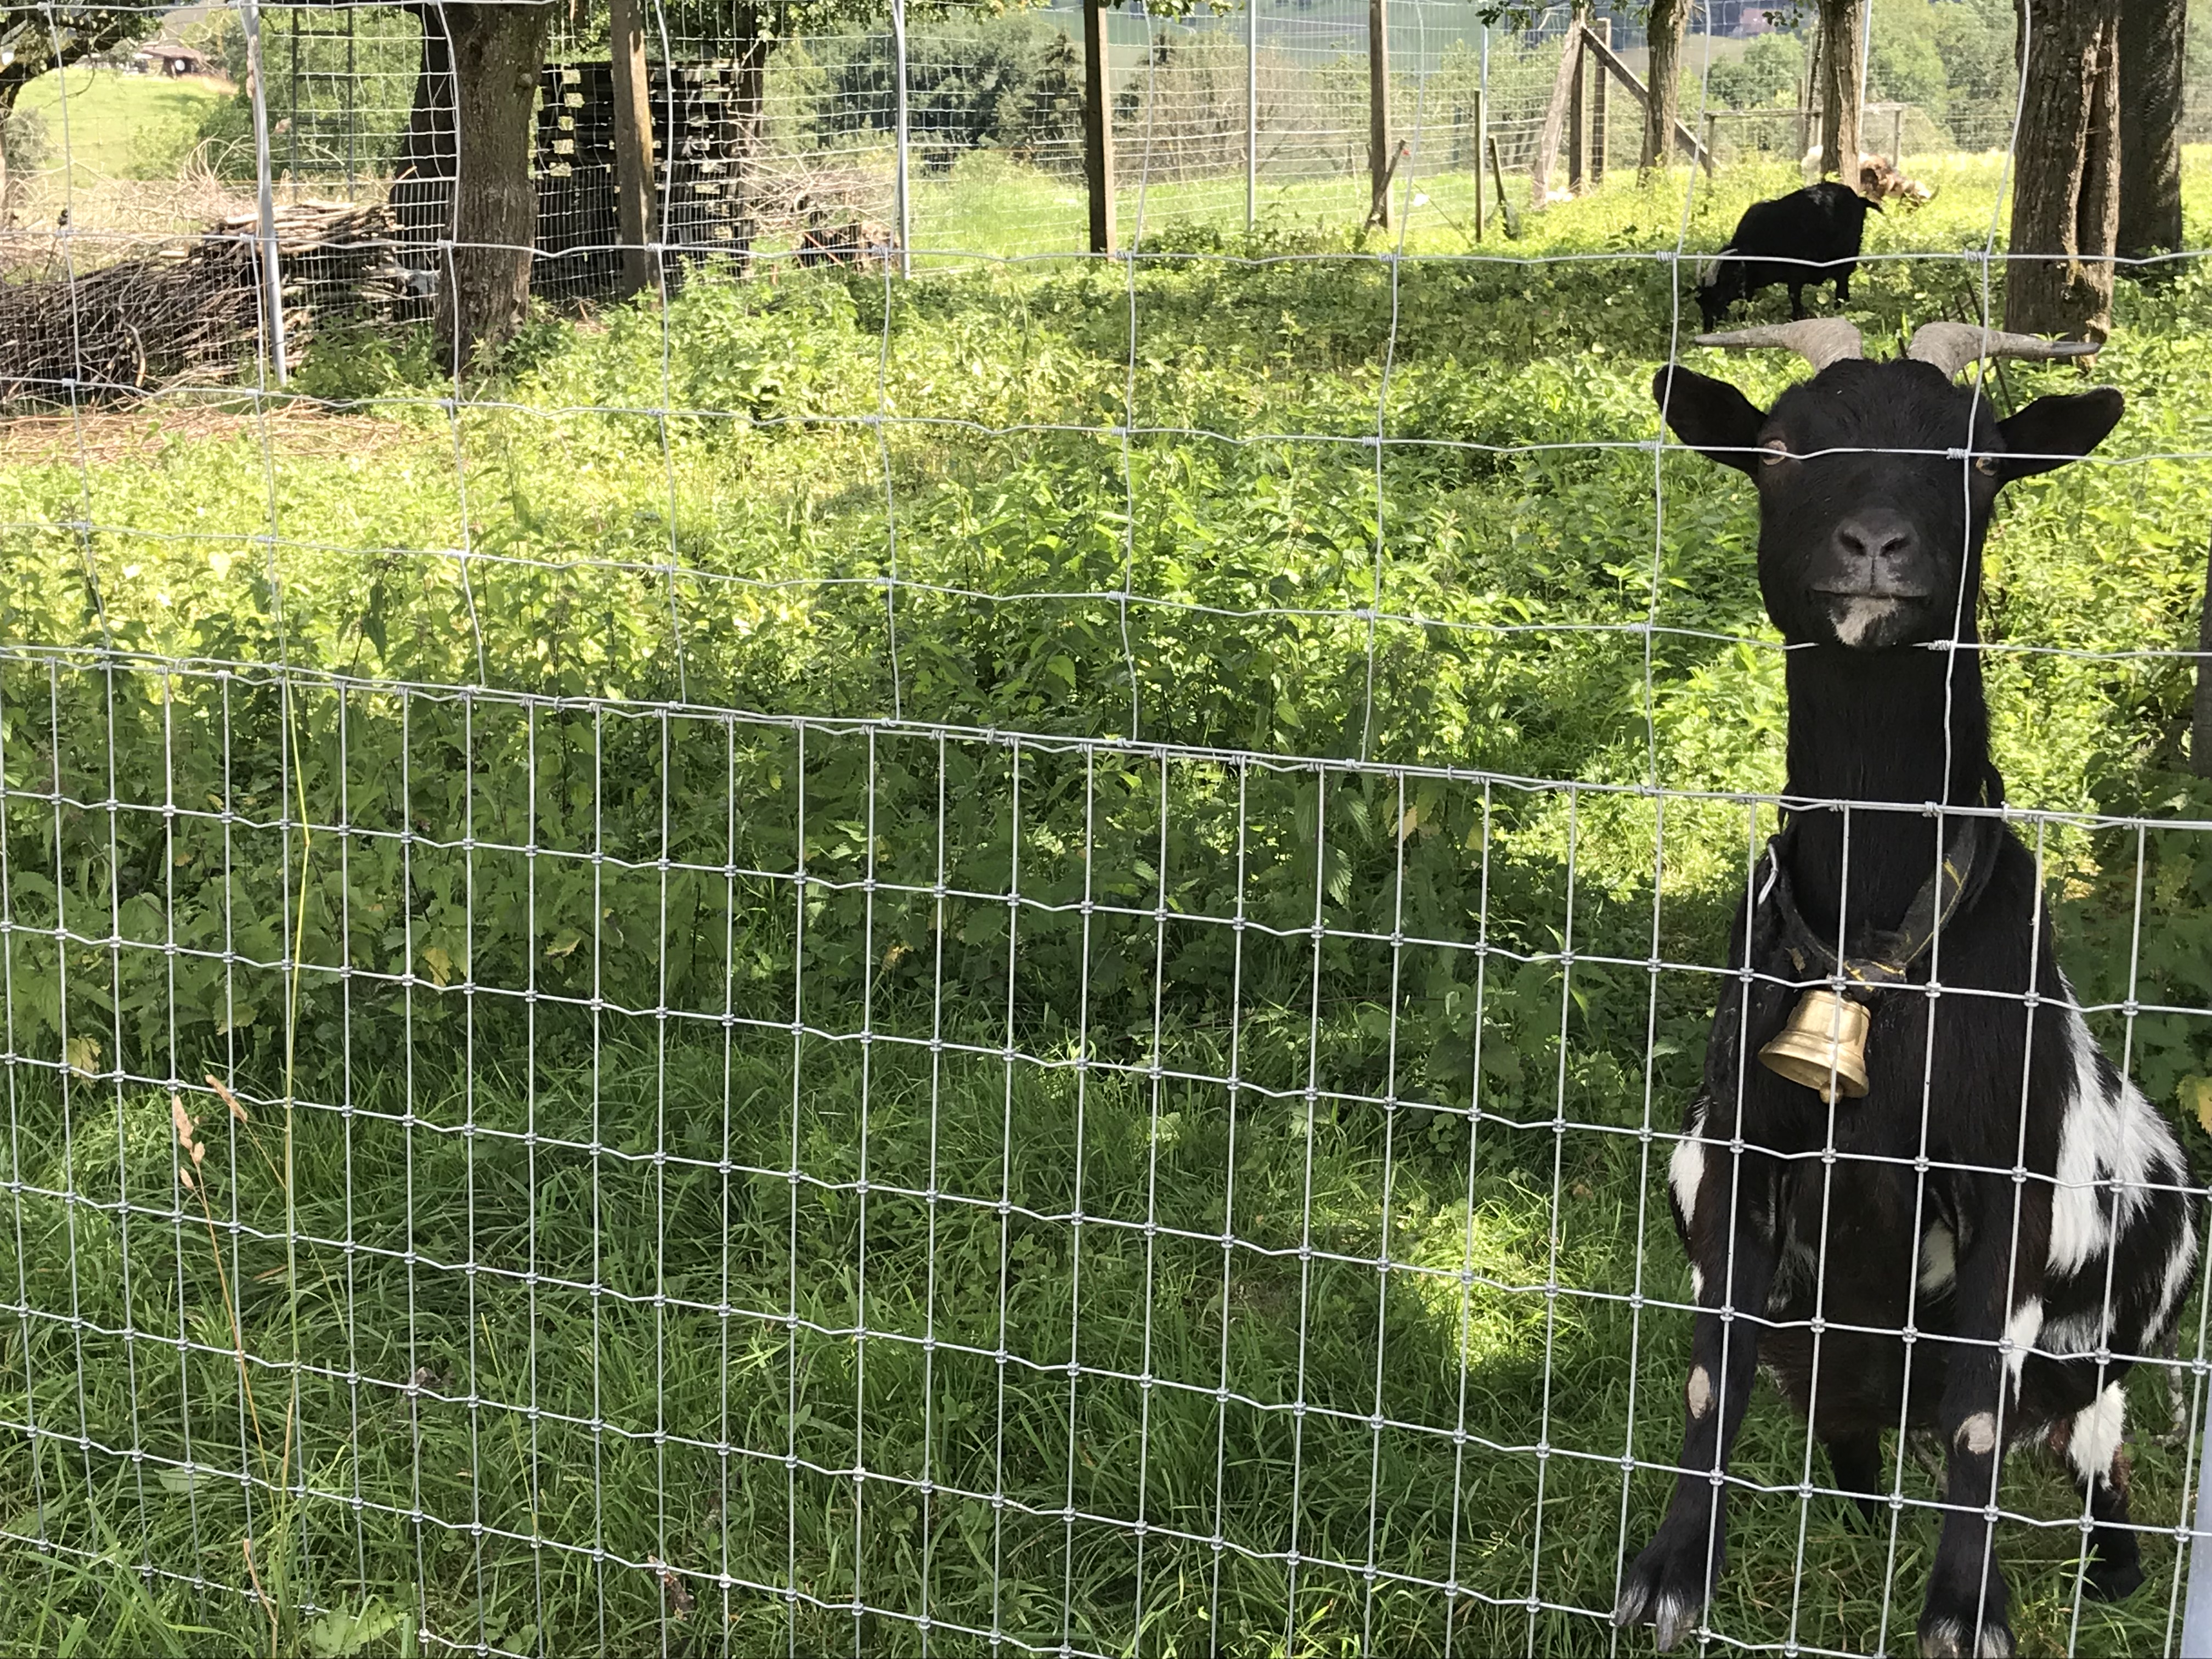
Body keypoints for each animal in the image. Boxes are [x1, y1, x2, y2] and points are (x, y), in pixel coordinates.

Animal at [1615, 317, 2200, 1659]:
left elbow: (1982, 1405)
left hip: (2112, 1347)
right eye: (1780, 447)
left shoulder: (2010, 1177)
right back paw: (1854, 1505)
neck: (1881, 941)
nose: (1876, 547)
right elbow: (1712, 1368)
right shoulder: (1741, 1157)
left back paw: (2113, 1571)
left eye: (1980, 460)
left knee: (2090, 1442)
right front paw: (1670, 1574)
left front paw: (1964, 1612)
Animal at [1696, 181, 1877, 332]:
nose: (1708, 329)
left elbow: (1793, 296)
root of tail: (1858, 200)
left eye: (1718, 297)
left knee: (1841, 286)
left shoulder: (1795, 274)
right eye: (1701, 302)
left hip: (1846, 259)